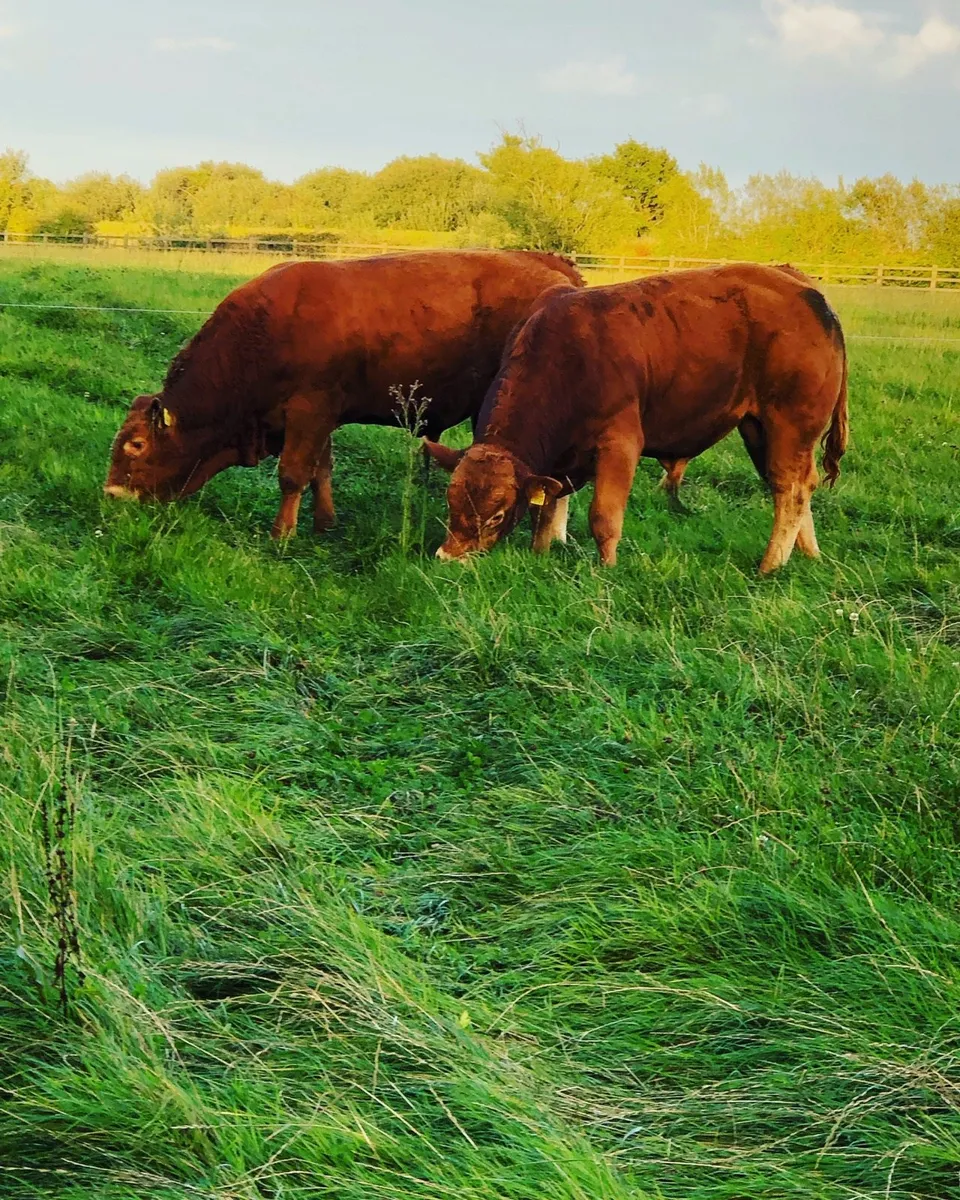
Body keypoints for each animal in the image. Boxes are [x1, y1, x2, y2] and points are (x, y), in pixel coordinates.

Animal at [104, 250, 584, 538]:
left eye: (136, 444)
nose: (111, 494)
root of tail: (550, 264)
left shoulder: (308, 413)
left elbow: (293, 473)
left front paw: (282, 535)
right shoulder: (321, 419)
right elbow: (322, 470)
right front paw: (324, 523)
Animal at [424, 263, 848, 574]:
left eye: (496, 516)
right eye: (450, 502)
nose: (449, 559)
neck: (566, 356)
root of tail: (806, 290)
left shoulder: (620, 443)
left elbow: (603, 517)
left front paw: (607, 570)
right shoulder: (556, 463)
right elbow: (545, 507)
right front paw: (539, 554)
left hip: (790, 425)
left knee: (791, 490)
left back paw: (770, 566)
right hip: (759, 429)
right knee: (793, 486)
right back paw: (807, 554)